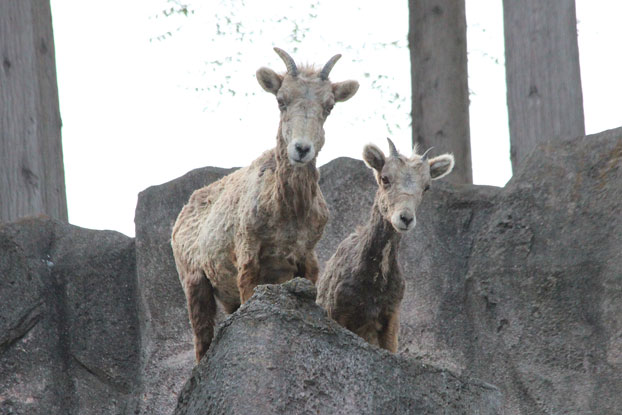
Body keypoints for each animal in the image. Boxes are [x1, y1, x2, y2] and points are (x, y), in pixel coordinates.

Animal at [172, 48, 360, 360]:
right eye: (281, 100)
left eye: (329, 106)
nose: (301, 149)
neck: (287, 214)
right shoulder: (248, 256)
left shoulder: (306, 260)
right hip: (194, 282)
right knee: (201, 341)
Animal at [320, 139, 456, 352]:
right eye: (385, 178)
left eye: (426, 187)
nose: (405, 218)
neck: (373, 285)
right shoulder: (337, 311)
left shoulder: (391, 318)